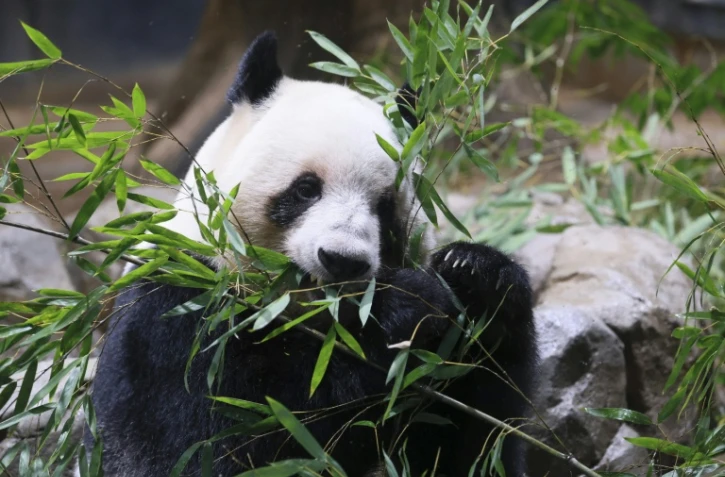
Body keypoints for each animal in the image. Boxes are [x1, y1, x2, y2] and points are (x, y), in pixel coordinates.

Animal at [82, 31, 538, 477]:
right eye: (306, 189)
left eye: (385, 206)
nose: (342, 260)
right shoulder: (176, 310)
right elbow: (222, 436)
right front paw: (402, 307)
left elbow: (472, 441)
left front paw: (477, 276)